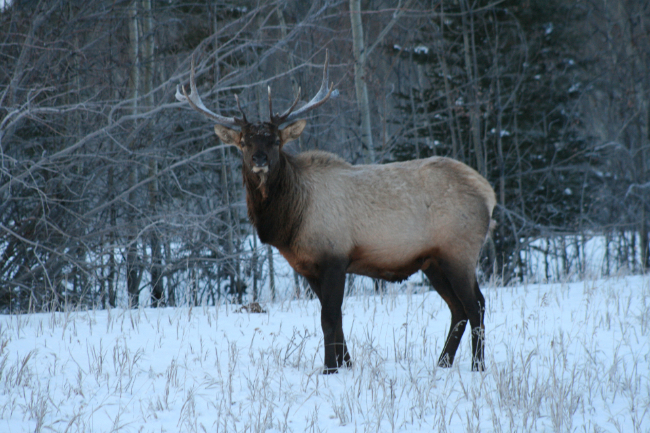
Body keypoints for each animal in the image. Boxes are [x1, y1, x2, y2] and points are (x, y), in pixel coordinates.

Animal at [176, 52, 496, 373]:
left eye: (276, 140)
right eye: (244, 142)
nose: (260, 159)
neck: (289, 222)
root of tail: (488, 194)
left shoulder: (335, 256)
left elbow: (329, 317)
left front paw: (330, 368)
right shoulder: (307, 267)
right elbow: (334, 318)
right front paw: (346, 363)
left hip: (459, 251)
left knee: (476, 305)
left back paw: (477, 366)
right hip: (433, 261)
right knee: (458, 308)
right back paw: (443, 362)